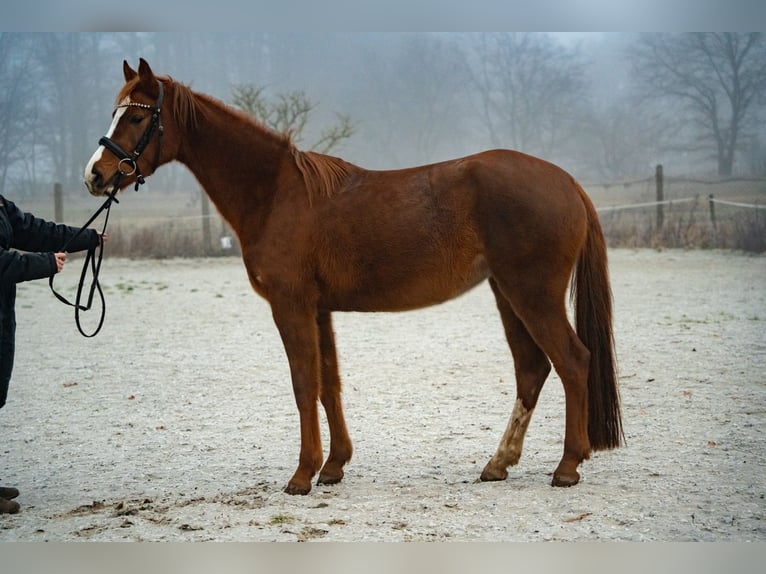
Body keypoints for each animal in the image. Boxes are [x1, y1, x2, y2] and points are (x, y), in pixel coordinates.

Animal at [85, 60, 624, 498]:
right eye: (115, 112)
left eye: (136, 117)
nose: (96, 174)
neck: (275, 193)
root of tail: (566, 181)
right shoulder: (319, 308)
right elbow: (329, 383)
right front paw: (334, 466)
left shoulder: (291, 305)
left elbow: (303, 382)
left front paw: (302, 475)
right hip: (507, 294)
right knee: (532, 369)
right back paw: (498, 464)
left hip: (532, 294)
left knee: (573, 361)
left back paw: (567, 466)